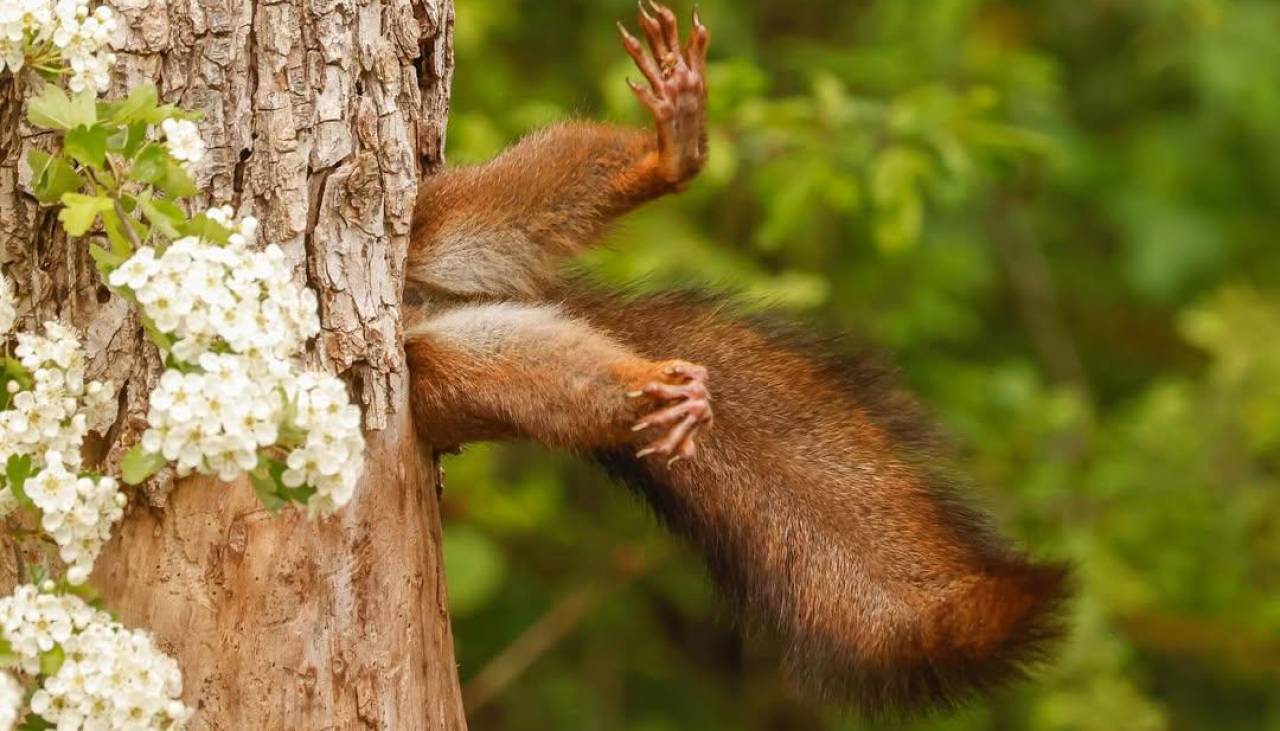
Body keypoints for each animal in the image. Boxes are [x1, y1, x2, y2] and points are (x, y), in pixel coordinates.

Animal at [401, 2, 1070, 716]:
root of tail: (421, 306)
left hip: (436, 222)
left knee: (515, 200)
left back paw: (671, 153)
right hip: (444, 374)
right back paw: (657, 389)